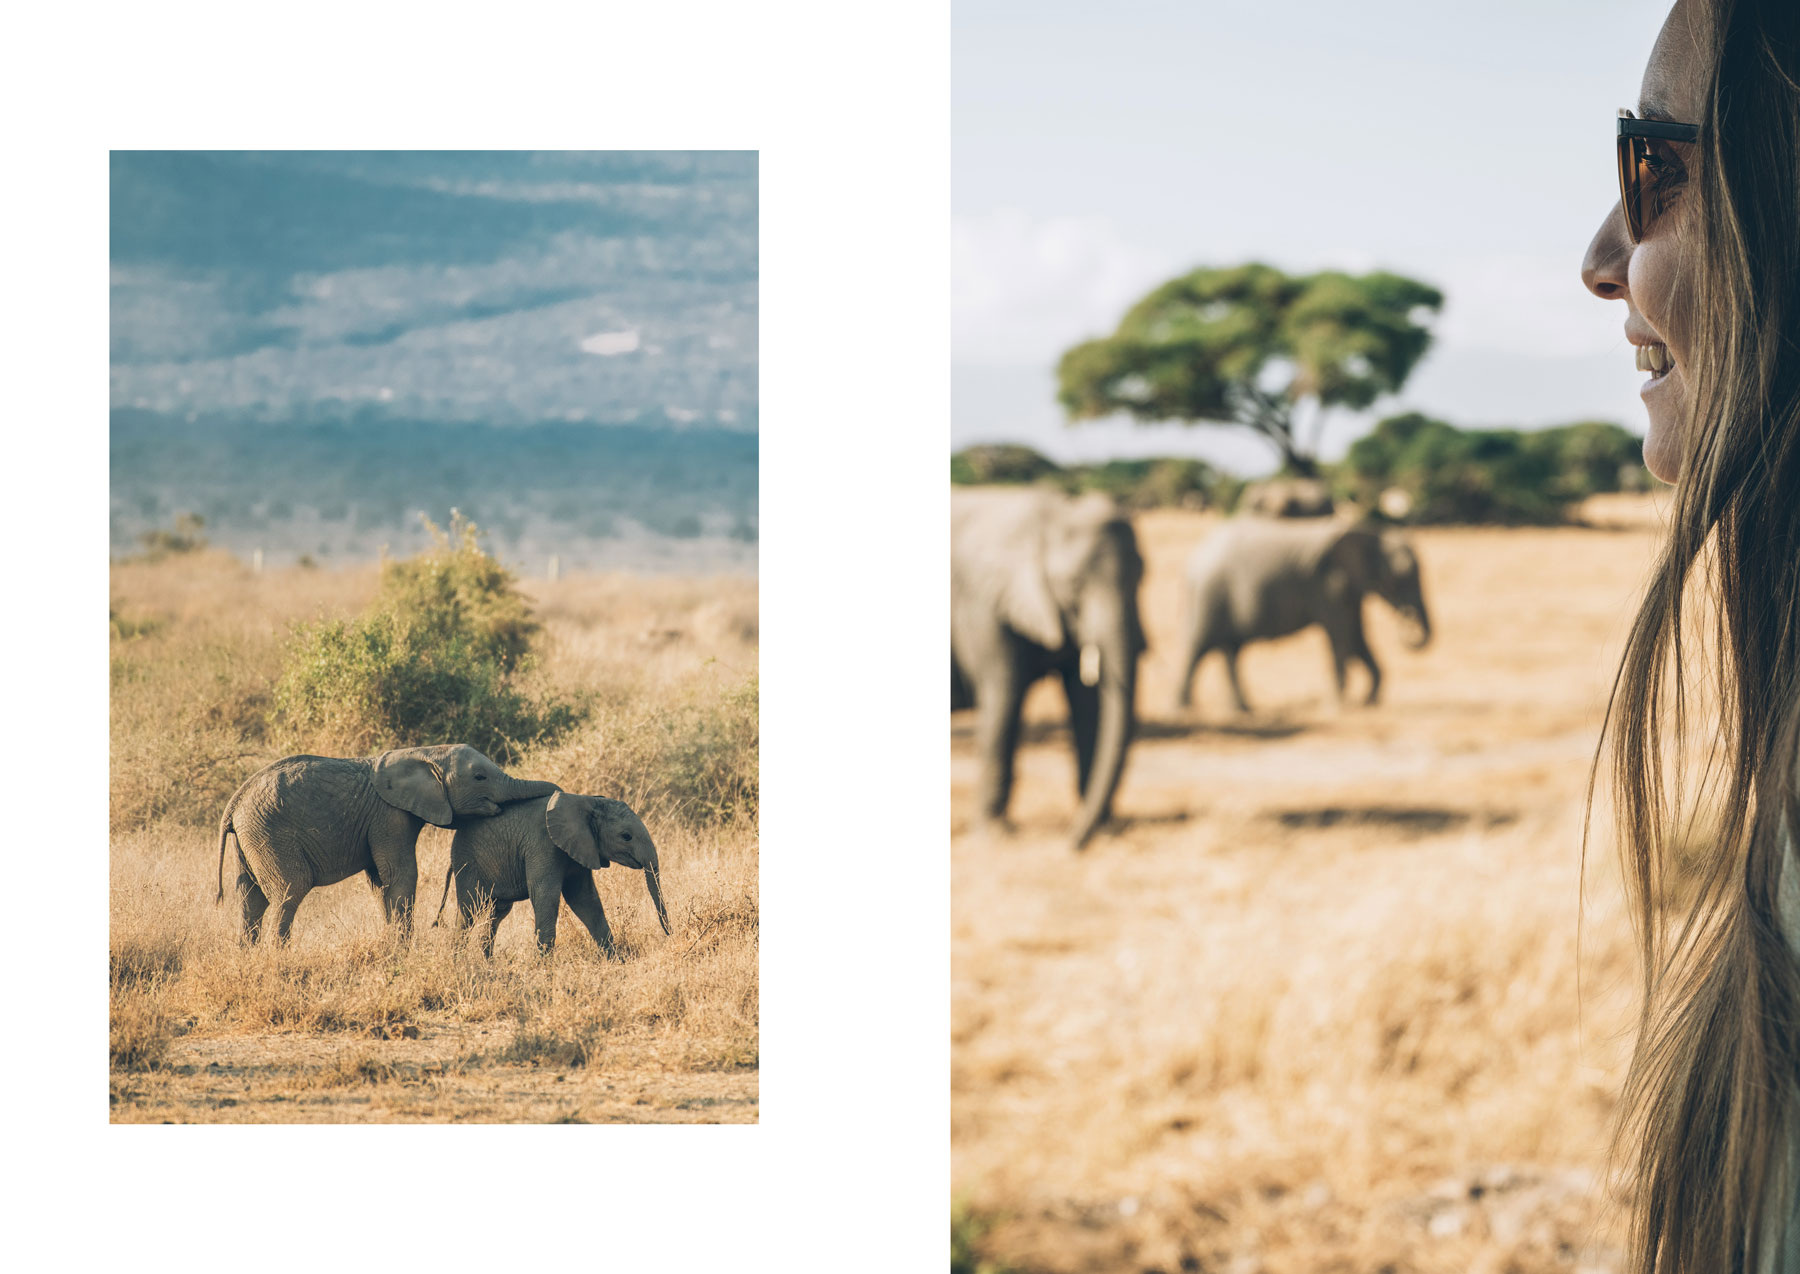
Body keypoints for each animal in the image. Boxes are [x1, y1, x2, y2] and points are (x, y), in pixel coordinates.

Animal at [213, 741, 558, 942]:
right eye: (480, 778)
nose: (557, 795)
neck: (426, 752)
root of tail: (234, 802)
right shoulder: (389, 816)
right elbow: (400, 874)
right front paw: (402, 952)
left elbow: (381, 882)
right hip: (269, 833)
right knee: (290, 889)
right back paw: (279, 959)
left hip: (252, 838)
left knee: (251, 898)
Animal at [433, 784, 669, 957]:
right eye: (626, 836)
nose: (669, 934)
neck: (586, 802)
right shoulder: (543, 843)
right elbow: (546, 896)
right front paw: (545, 969)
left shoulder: (580, 848)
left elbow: (585, 899)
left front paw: (614, 961)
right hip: (468, 863)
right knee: (469, 910)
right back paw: (458, 962)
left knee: (497, 913)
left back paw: (487, 962)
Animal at [950, 493, 1144, 849]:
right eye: (1074, 585)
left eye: (1141, 578)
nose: (1070, 845)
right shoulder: (983, 604)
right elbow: (1005, 697)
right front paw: (994, 834)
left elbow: (1090, 704)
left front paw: (1104, 829)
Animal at [1166, 521, 1432, 716]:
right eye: (1401, 575)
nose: (1407, 617)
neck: (1371, 534)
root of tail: (1193, 559)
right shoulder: (1327, 585)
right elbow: (1341, 636)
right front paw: (1337, 706)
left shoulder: (1349, 589)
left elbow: (1357, 637)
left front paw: (1369, 702)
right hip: (1209, 595)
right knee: (1196, 649)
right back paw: (1183, 711)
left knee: (1231, 652)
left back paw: (1243, 710)